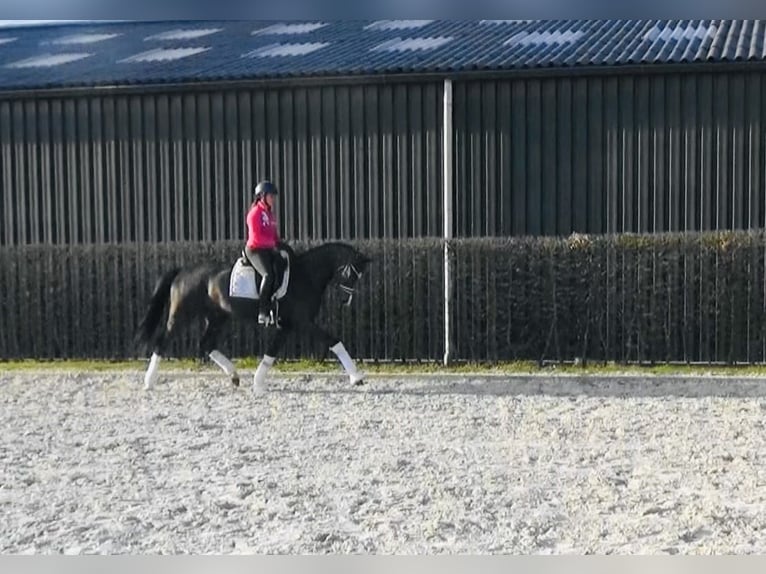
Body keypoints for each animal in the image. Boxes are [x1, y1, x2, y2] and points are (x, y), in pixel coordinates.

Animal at [136, 241, 374, 394]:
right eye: (351, 273)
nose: (345, 301)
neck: (305, 276)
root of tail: (183, 271)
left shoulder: (287, 326)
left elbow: (271, 353)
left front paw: (258, 383)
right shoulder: (302, 323)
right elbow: (334, 341)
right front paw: (357, 378)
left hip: (217, 317)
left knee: (206, 344)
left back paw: (234, 376)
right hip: (181, 315)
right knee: (162, 342)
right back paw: (148, 382)